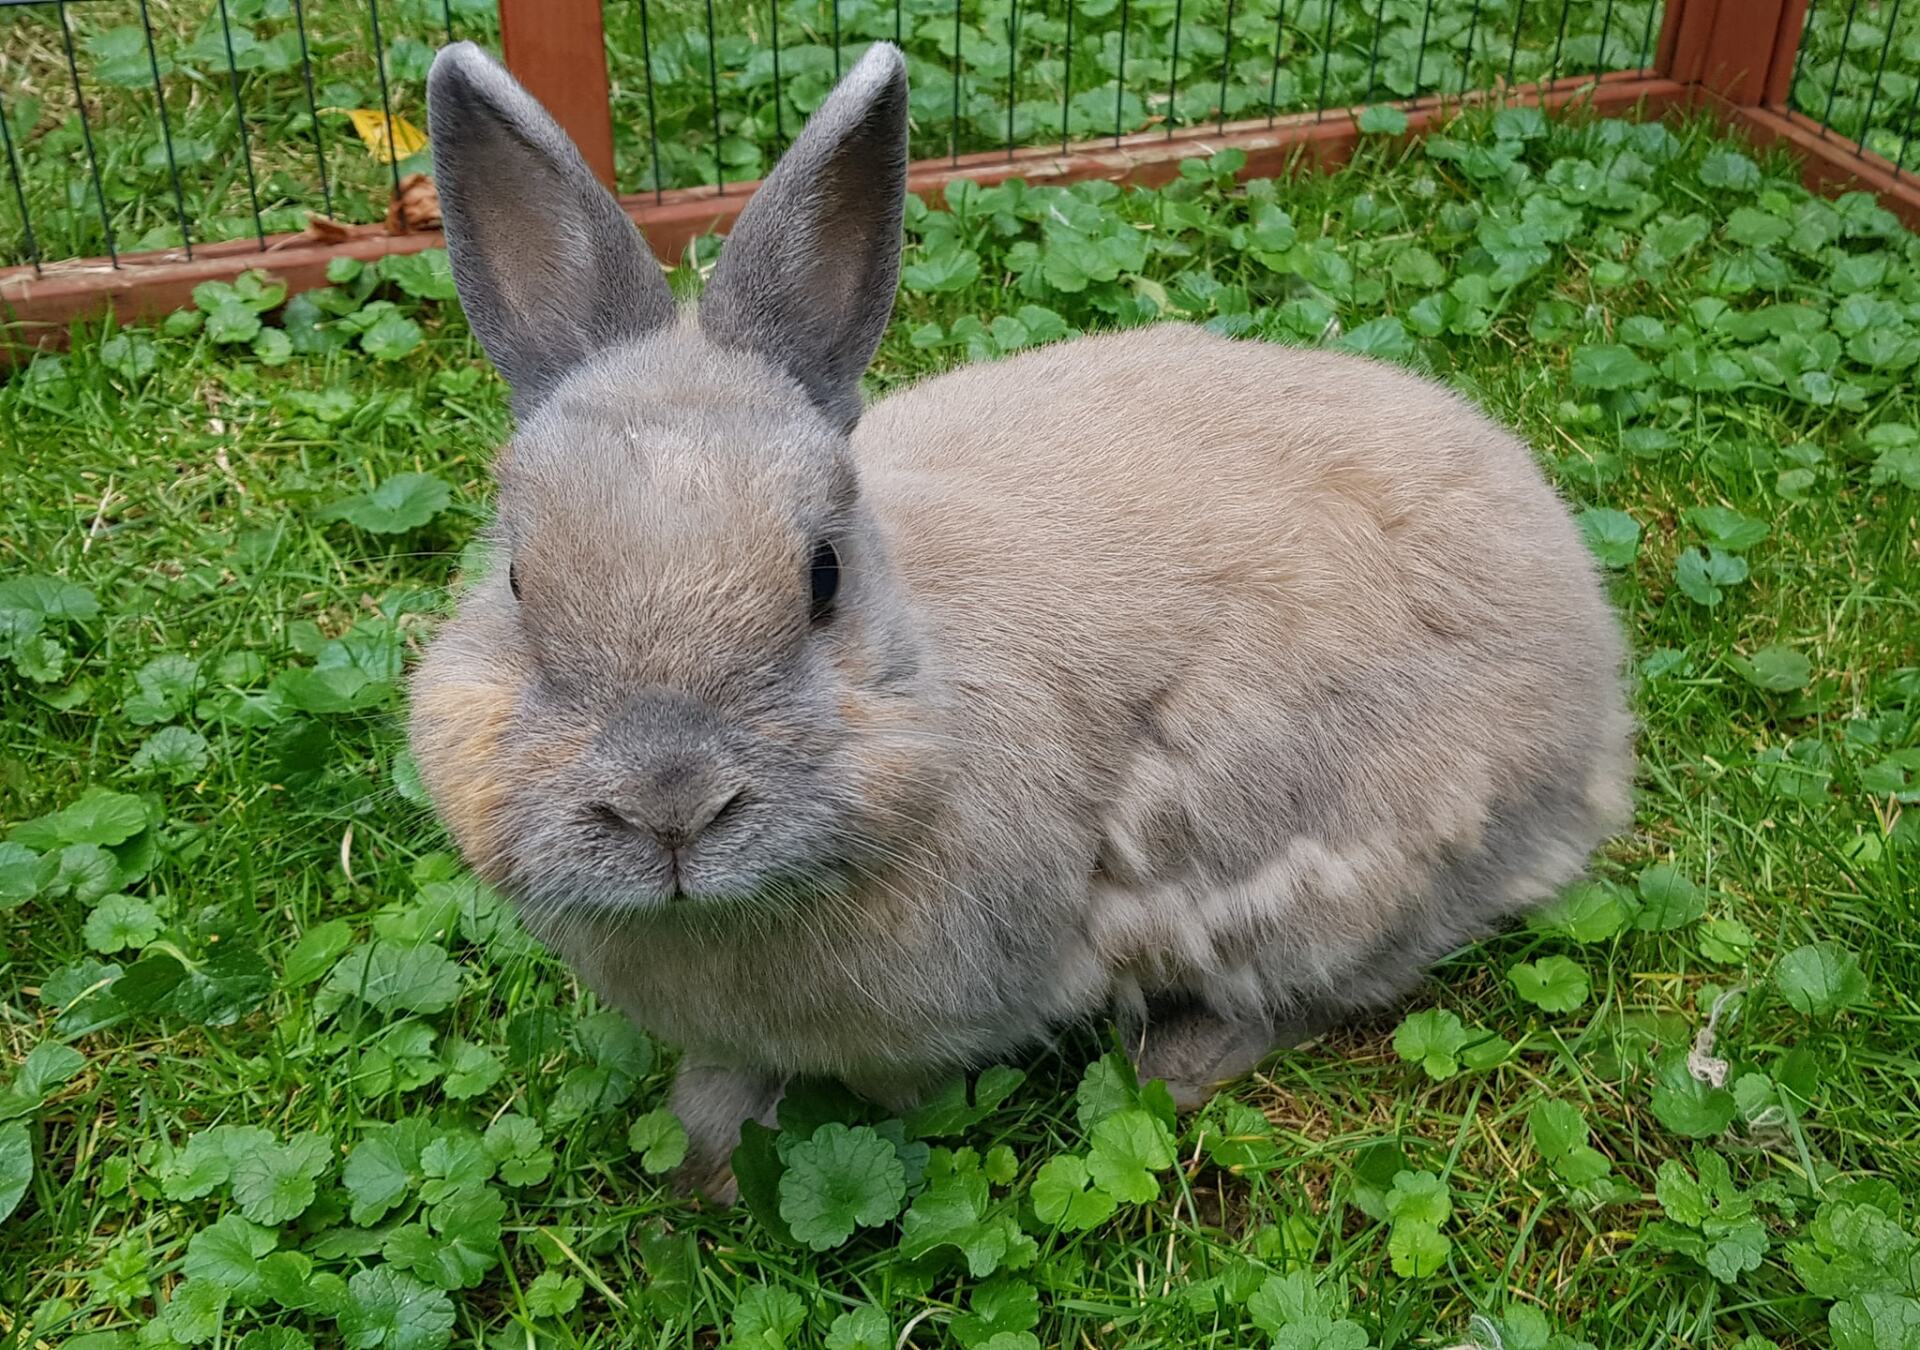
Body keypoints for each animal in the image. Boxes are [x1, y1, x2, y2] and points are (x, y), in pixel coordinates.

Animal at [410, 39, 1635, 1201]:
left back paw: (1175, 1065)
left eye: (822, 578)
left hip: (1348, 875)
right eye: (516, 580)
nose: (670, 808)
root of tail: (1593, 693)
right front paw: (704, 1160)